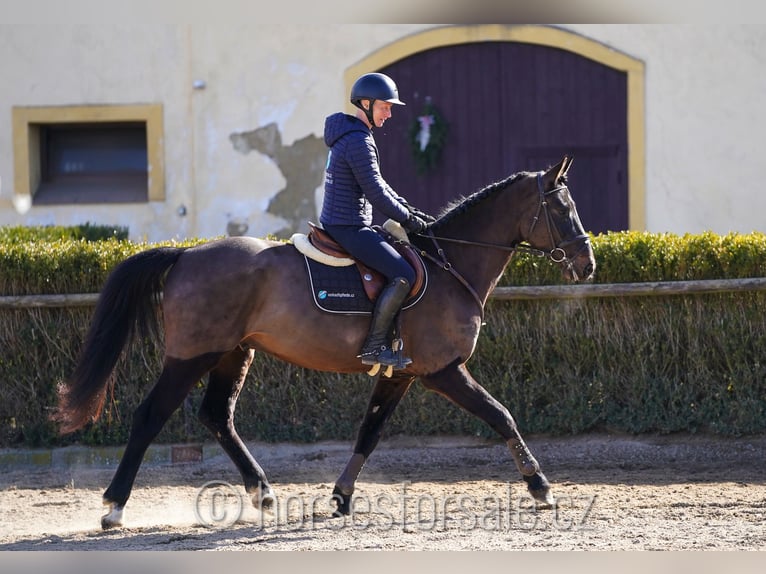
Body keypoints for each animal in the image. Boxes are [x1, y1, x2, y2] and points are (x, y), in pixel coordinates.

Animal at [51, 156, 596, 532]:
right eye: (562, 208)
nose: (587, 264)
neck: (450, 267)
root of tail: (186, 254)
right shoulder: (444, 372)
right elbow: (501, 415)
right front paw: (541, 487)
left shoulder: (401, 374)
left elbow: (369, 433)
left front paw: (340, 497)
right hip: (191, 357)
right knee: (150, 416)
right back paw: (114, 507)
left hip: (234, 353)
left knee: (217, 416)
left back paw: (263, 493)